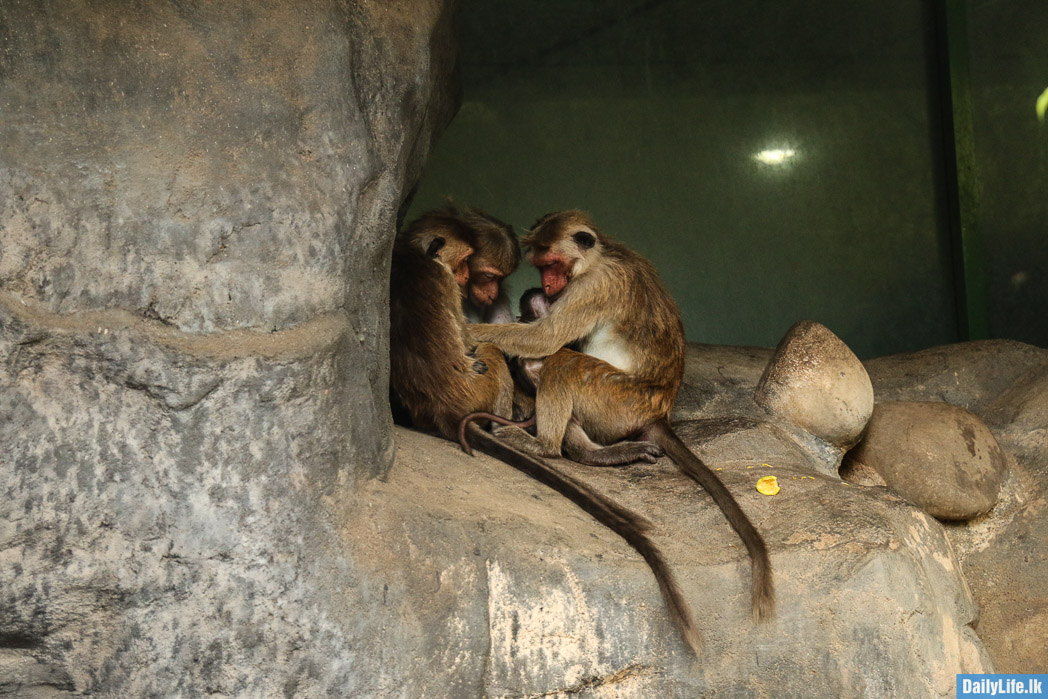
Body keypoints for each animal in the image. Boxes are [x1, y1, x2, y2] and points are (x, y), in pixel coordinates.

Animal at [463, 210, 775, 624]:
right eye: (542, 266)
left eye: (552, 264)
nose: (547, 284)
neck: (599, 257)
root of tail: (658, 413)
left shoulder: (593, 286)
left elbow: (547, 338)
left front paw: (468, 330)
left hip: (614, 398)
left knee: (563, 361)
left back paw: (544, 446)